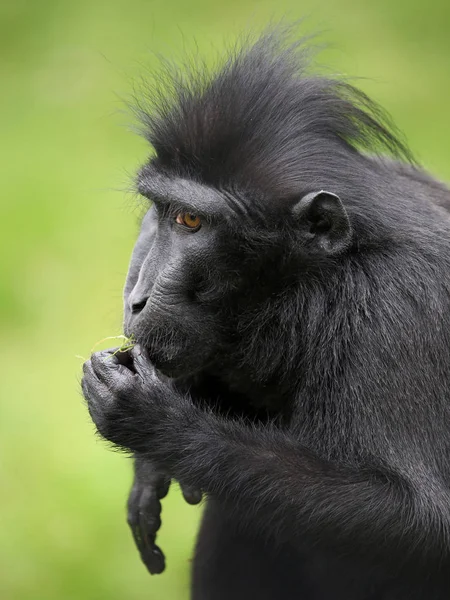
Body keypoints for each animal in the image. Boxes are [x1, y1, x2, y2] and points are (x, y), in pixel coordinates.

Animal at [81, 28, 450, 600]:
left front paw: (158, 424)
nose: (134, 297)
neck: (328, 277)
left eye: (190, 221)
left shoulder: (402, 306)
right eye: (159, 213)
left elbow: (420, 522)